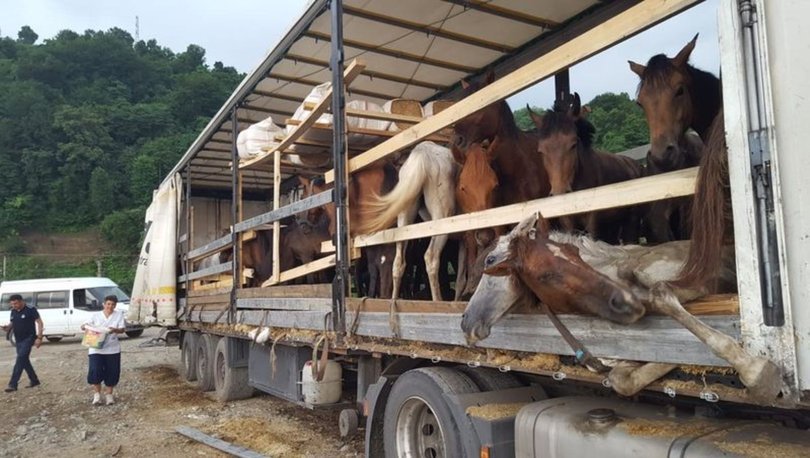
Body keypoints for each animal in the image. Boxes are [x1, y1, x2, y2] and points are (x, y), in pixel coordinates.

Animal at [460, 213, 784, 402]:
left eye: (490, 262)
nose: (466, 322)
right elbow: (620, 378)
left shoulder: (697, 281)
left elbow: (660, 295)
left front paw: (757, 372)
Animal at [524, 92, 644, 243]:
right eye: (541, 151)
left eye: (573, 144)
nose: (559, 193)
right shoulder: (569, 225)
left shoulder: (593, 224)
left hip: (631, 223)